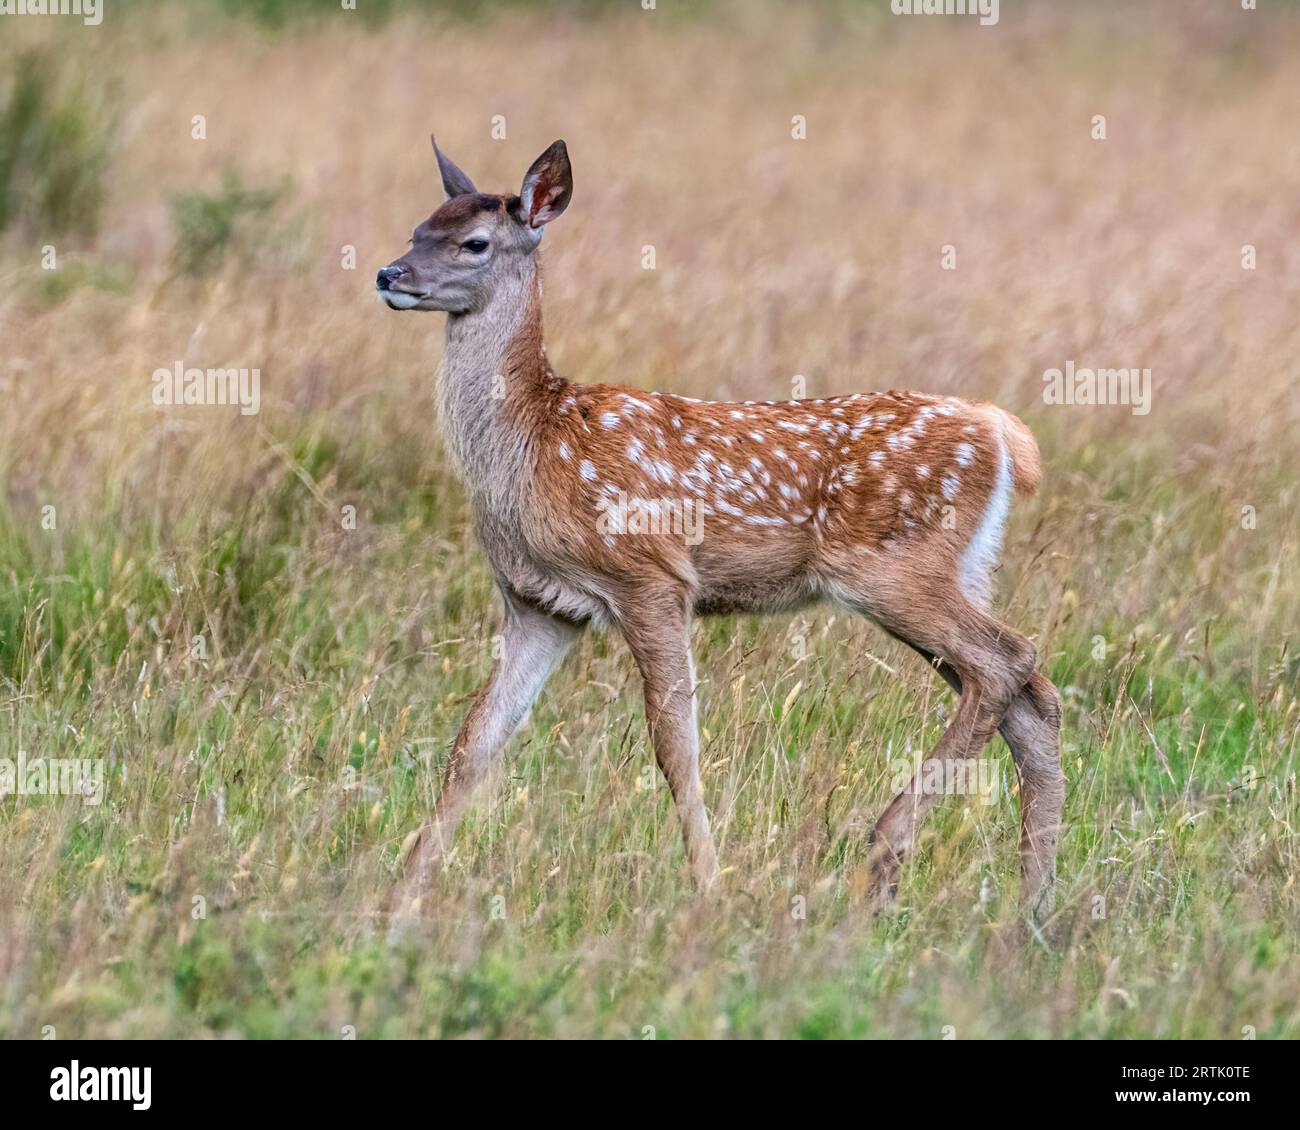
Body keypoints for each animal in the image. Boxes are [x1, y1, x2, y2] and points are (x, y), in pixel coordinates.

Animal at [376, 137, 1065, 921]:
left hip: (894, 565)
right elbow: (476, 743)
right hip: (961, 569)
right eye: (417, 228)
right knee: (1028, 693)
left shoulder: (650, 577)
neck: (532, 443)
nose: (388, 274)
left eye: (474, 242)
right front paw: (399, 900)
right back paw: (1032, 900)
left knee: (1008, 660)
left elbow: (674, 746)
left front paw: (709, 885)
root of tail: (1004, 434)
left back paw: (886, 851)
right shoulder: (540, 604)